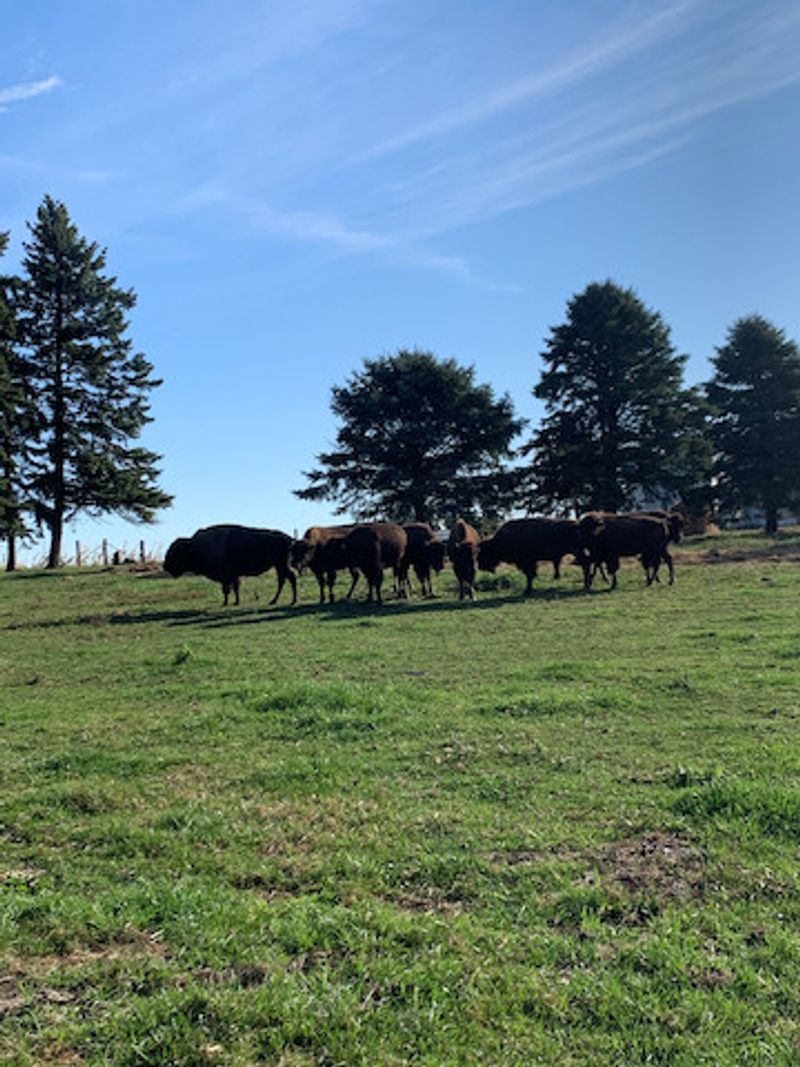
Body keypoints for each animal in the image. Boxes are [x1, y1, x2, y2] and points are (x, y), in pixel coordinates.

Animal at [164, 525, 297, 605]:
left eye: (176, 552)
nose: (166, 566)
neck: (194, 547)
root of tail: (289, 538)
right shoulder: (233, 575)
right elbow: (234, 588)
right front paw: (235, 602)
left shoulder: (226, 576)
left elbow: (227, 589)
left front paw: (228, 603)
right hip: (279, 565)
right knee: (285, 579)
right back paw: (278, 601)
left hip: (281, 565)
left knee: (289, 579)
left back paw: (286, 601)